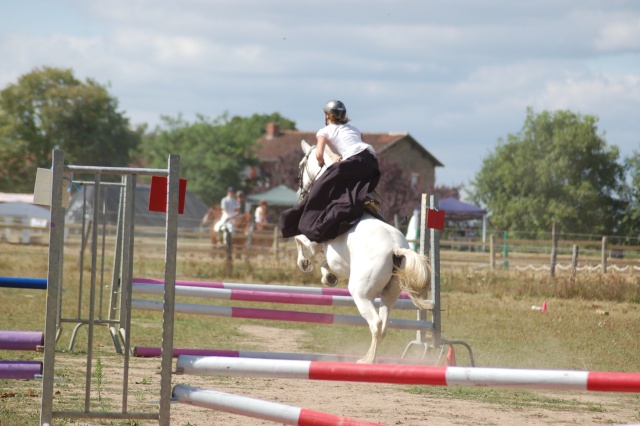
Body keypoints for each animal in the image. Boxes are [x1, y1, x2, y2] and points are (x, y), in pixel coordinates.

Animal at [294, 140, 432, 362]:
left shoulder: (314, 238)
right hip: (390, 294)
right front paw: (328, 277)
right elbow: (324, 262)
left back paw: (367, 361)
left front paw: (304, 264)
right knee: (383, 326)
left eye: (300, 165)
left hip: (361, 293)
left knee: (375, 323)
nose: (300, 195)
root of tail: (396, 249)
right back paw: (367, 358)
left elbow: (301, 242)